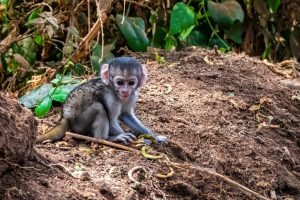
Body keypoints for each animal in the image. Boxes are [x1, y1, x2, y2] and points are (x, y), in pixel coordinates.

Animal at [36, 56, 168, 144]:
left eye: (131, 83)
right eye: (120, 83)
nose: (125, 91)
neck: (115, 92)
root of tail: (65, 116)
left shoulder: (132, 95)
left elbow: (126, 115)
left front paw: (155, 137)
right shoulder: (110, 98)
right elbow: (112, 120)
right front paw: (123, 136)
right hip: (78, 125)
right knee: (99, 107)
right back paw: (104, 139)